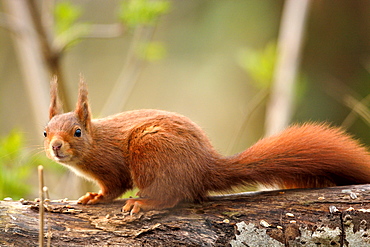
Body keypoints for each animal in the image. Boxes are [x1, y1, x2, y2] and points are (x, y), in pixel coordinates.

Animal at [44, 78, 370, 213]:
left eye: (77, 132)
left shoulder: (113, 166)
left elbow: (114, 187)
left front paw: (96, 197)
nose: (56, 147)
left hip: (150, 150)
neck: (96, 141)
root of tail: (204, 166)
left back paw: (144, 202)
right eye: (45, 132)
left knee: (171, 195)